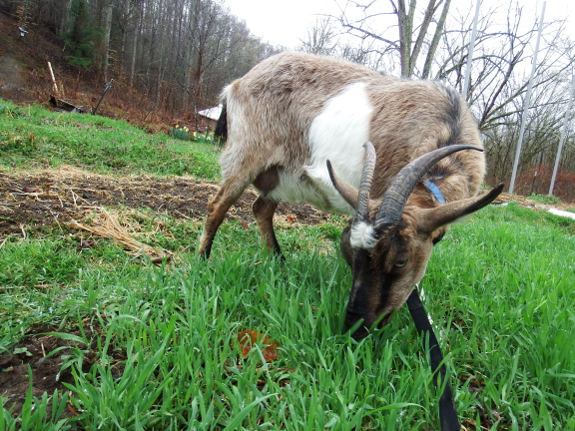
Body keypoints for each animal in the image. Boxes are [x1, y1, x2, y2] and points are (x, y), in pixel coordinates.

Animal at [199, 51, 504, 340]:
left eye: (401, 261)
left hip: (279, 175)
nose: (355, 328)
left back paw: (279, 262)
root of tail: (238, 83)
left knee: (261, 208)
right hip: (246, 152)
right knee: (217, 205)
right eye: (355, 253)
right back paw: (203, 263)